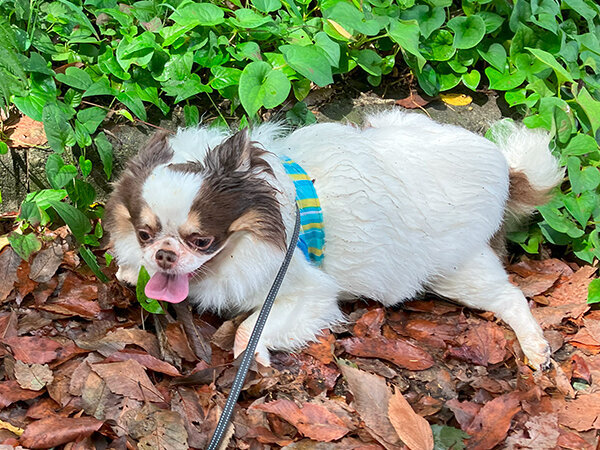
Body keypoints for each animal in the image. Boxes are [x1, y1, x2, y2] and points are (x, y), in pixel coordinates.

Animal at [103, 109, 564, 370]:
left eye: (201, 241)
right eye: (145, 234)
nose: (164, 254)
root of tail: (504, 168)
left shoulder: (306, 294)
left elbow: (249, 329)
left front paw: (253, 355)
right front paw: (132, 266)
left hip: (456, 270)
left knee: (510, 297)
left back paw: (536, 348)